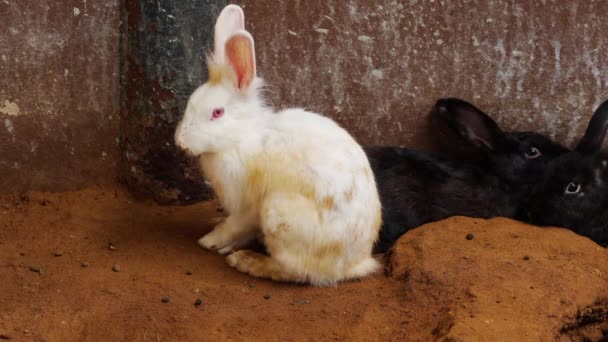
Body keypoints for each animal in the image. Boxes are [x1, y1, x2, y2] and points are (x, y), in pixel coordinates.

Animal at [173, 5, 380, 286]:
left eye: (217, 112)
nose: (180, 142)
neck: (241, 137)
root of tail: (355, 264)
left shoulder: (247, 206)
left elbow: (233, 225)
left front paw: (210, 241)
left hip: (278, 216)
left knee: (294, 271)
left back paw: (248, 261)